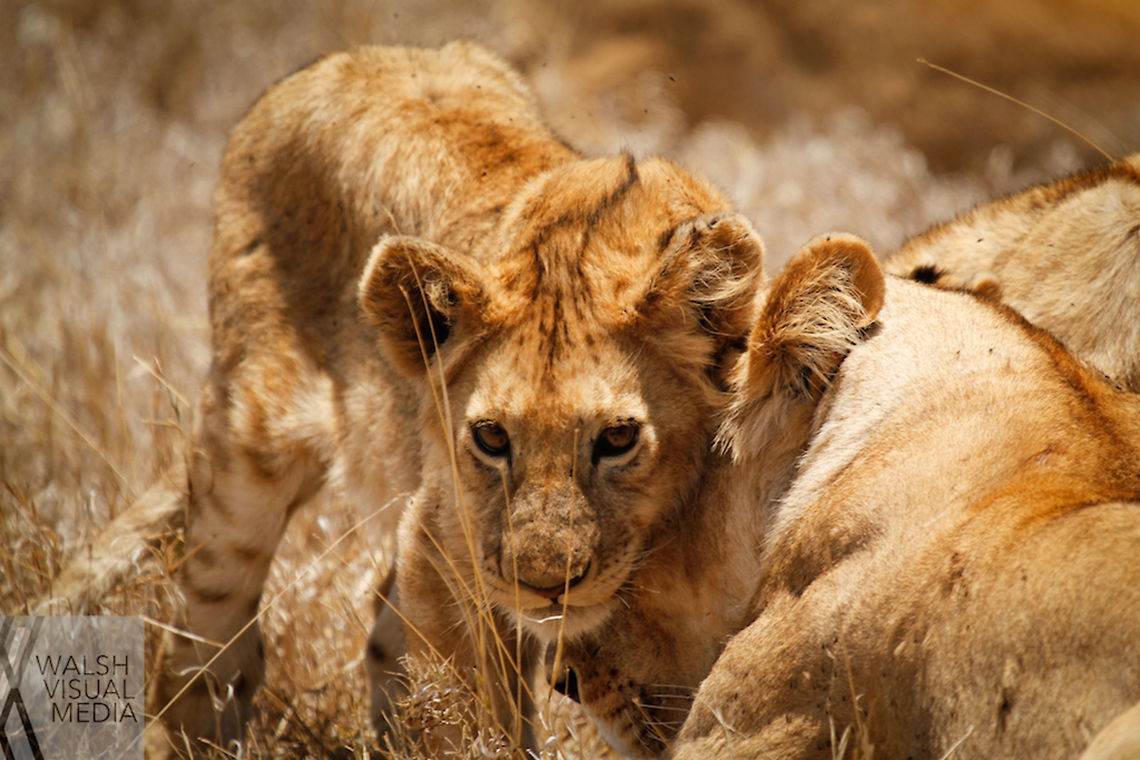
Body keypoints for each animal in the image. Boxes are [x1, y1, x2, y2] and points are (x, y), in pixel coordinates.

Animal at [150, 41, 766, 751]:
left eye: (618, 438)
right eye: (491, 437)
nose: (544, 586)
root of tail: (350, 56)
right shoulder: (443, 554)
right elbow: (477, 722)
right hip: (248, 449)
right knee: (201, 645)